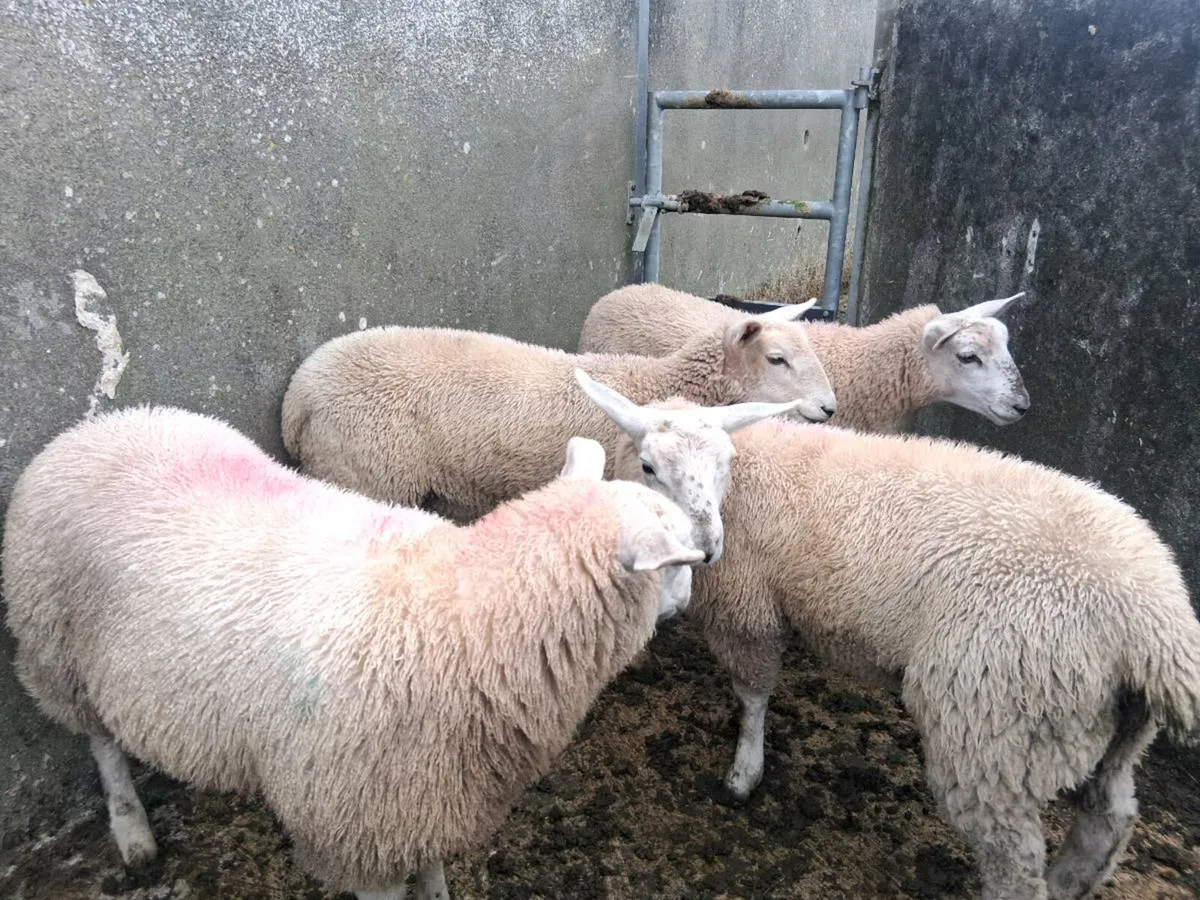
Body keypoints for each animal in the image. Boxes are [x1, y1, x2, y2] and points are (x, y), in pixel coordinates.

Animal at [2, 406, 707, 900]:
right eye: (678, 556)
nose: (696, 589)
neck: (470, 611)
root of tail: (93, 426)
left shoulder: (424, 798)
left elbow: (433, 875)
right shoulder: (358, 822)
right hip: (56, 651)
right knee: (101, 744)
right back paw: (132, 830)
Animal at [611, 411, 1200, 900]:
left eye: (723, 466)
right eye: (650, 466)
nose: (705, 548)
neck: (749, 473)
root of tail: (1157, 623)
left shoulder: (747, 613)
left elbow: (753, 698)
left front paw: (743, 774)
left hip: (994, 723)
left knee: (1014, 865)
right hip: (1106, 728)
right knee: (1109, 819)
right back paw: (1069, 882)